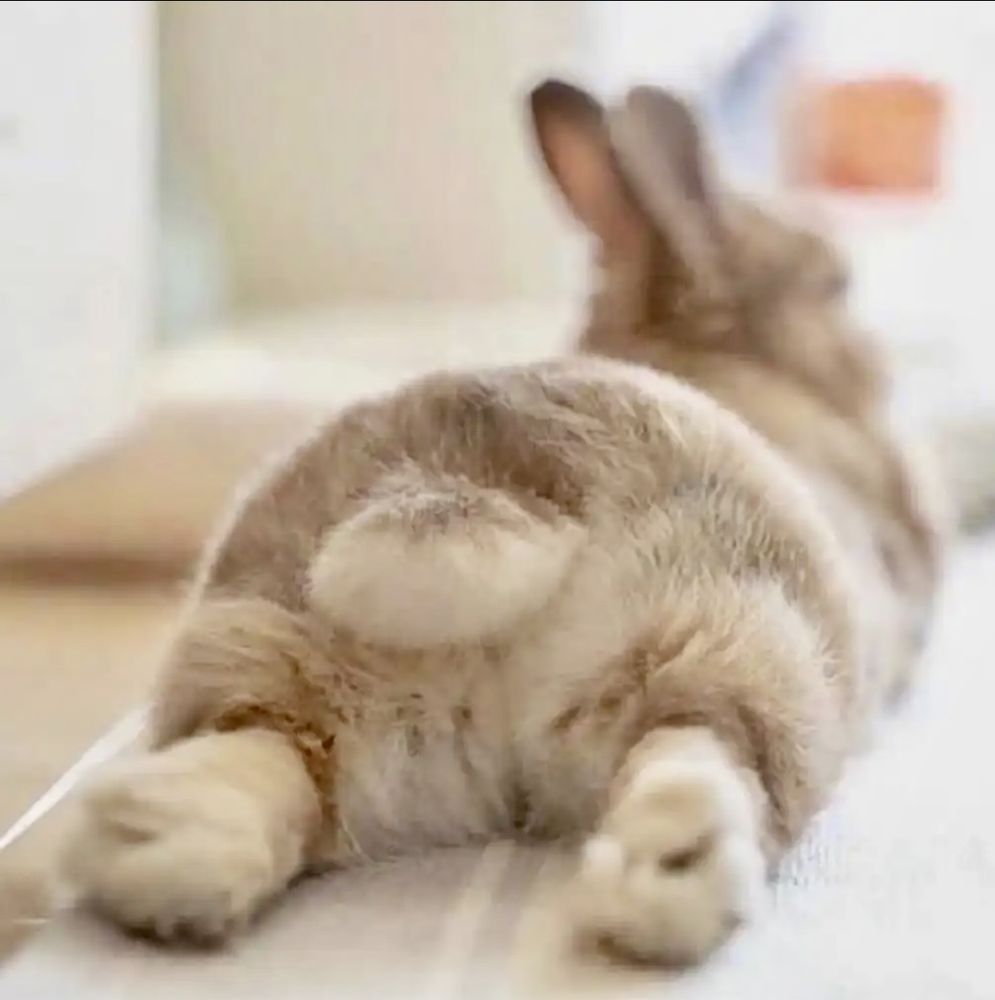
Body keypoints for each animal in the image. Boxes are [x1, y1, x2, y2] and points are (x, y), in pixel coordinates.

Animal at [62, 82, 948, 967]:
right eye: (835, 284)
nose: (882, 357)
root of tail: (485, 489)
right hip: (747, 643)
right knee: (702, 749)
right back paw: (668, 882)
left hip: (276, 649)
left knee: (260, 757)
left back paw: (163, 860)